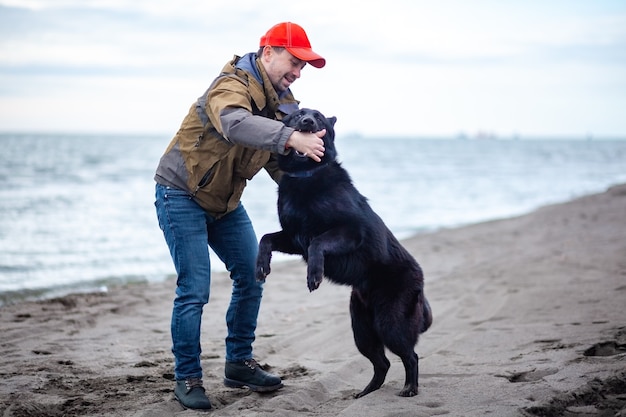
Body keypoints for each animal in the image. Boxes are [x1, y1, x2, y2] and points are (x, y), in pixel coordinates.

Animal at [256, 108, 432, 396]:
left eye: (317, 116)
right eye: (299, 114)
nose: (307, 122)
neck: (307, 175)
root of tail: (421, 281)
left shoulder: (350, 232)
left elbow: (318, 243)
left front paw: (314, 275)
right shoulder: (293, 238)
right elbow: (265, 239)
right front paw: (262, 265)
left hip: (389, 325)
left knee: (411, 356)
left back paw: (410, 388)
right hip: (362, 332)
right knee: (382, 363)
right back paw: (367, 392)